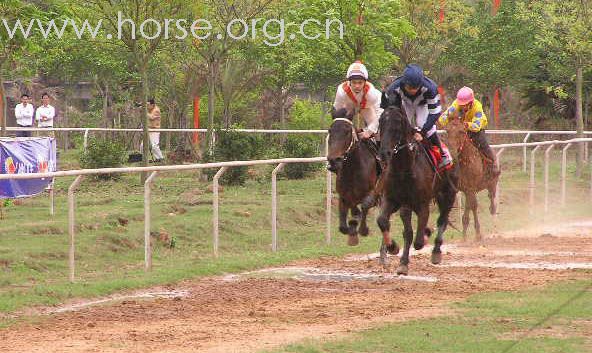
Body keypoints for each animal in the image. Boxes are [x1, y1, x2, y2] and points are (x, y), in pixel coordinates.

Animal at [328, 107, 380, 245]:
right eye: (330, 130)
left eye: (347, 132)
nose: (334, 160)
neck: (353, 170)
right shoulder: (343, 196)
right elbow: (343, 226)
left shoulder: (373, 193)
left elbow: (365, 205)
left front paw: (363, 229)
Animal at [374, 106, 458, 274]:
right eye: (381, 123)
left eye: (397, 125)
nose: (383, 154)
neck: (404, 169)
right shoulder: (393, 200)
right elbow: (385, 222)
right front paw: (394, 249)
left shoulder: (422, 204)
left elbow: (418, 240)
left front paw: (425, 235)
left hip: (448, 194)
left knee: (442, 220)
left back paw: (436, 251)